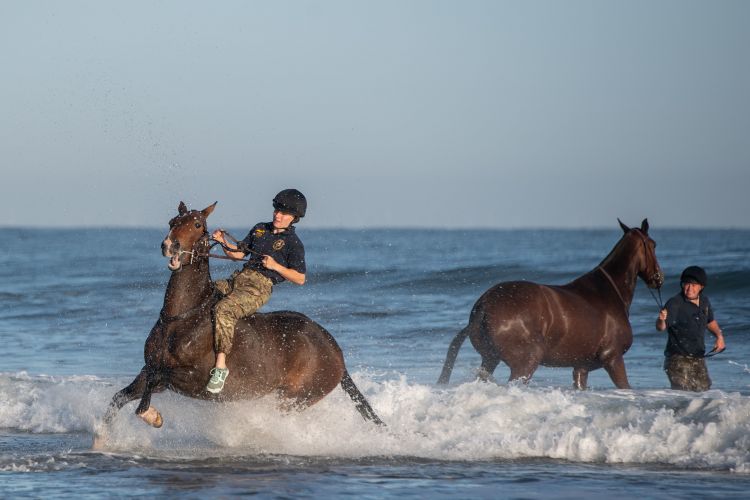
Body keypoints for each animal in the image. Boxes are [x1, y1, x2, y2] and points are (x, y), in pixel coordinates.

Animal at [96, 201, 382, 443]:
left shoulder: (191, 378)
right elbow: (121, 396)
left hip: (295, 398)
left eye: (197, 224)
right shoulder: (149, 368)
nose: (170, 246)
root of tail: (335, 351)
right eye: (172, 221)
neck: (181, 319)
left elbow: (155, 382)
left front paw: (153, 417)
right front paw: (101, 440)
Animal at [437, 219, 663, 390]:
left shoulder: (581, 367)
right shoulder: (613, 359)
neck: (608, 293)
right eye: (653, 244)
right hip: (525, 363)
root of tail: (484, 306)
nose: (658, 278)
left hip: (490, 359)